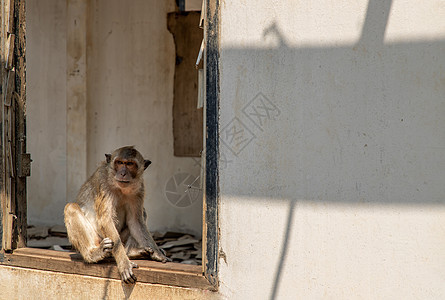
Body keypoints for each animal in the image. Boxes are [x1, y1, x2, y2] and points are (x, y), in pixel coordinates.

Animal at [64, 145, 170, 284]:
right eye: (119, 163)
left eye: (130, 164)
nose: (123, 173)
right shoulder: (103, 182)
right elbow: (106, 220)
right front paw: (124, 263)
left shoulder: (139, 188)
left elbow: (135, 221)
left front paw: (157, 253)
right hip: (97, 239)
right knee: (71, 207)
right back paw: (93, 254)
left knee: (142, 212)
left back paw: (131, 252)